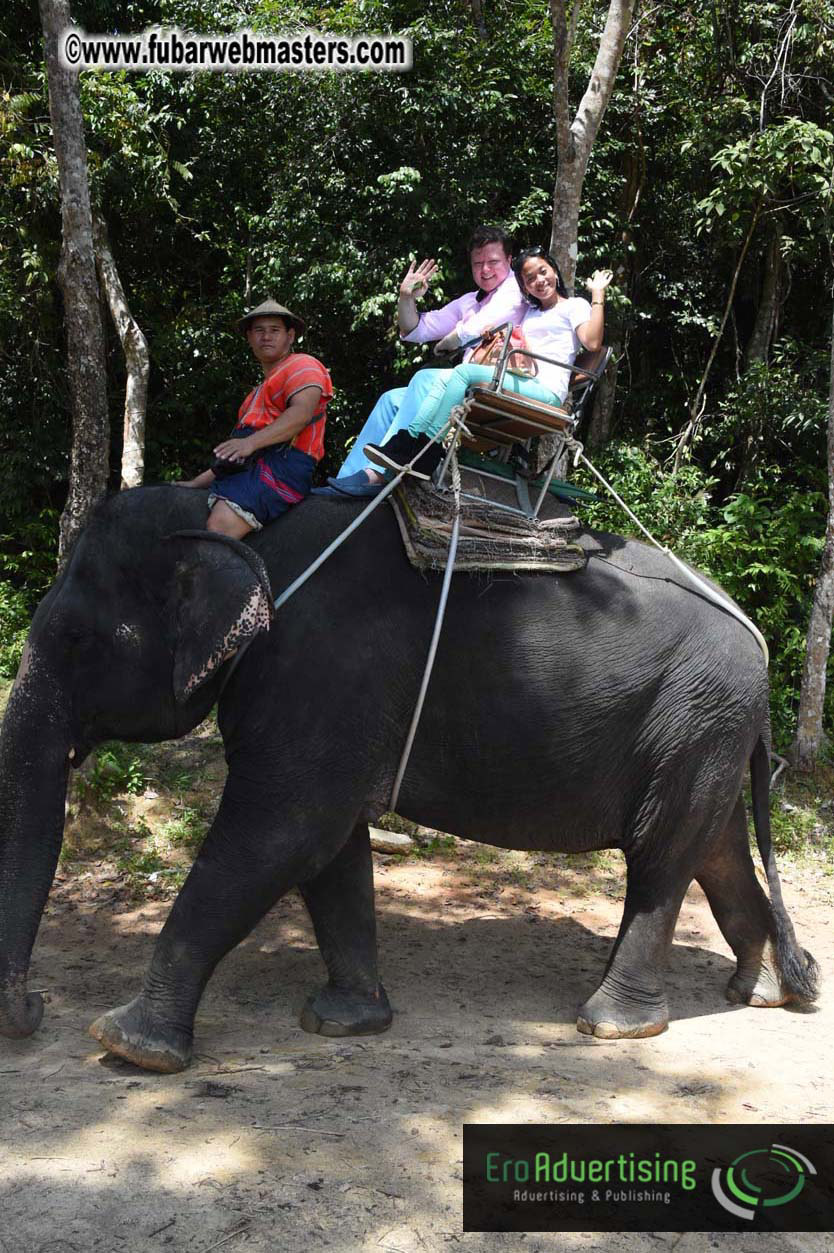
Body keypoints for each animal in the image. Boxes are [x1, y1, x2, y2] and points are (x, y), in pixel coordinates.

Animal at [0, 483, 819, 1073]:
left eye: (76, 638)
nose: (33, 1009)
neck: (231, 528)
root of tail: (756, 640)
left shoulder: (320, 673)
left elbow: (281, 833)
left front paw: (126, 1044)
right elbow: (328, 847)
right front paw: (343, 1022)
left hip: (694, 715)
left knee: (660, 858)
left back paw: (613, 1027)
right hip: (706, 730)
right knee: (714, 849)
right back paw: (761, 992)